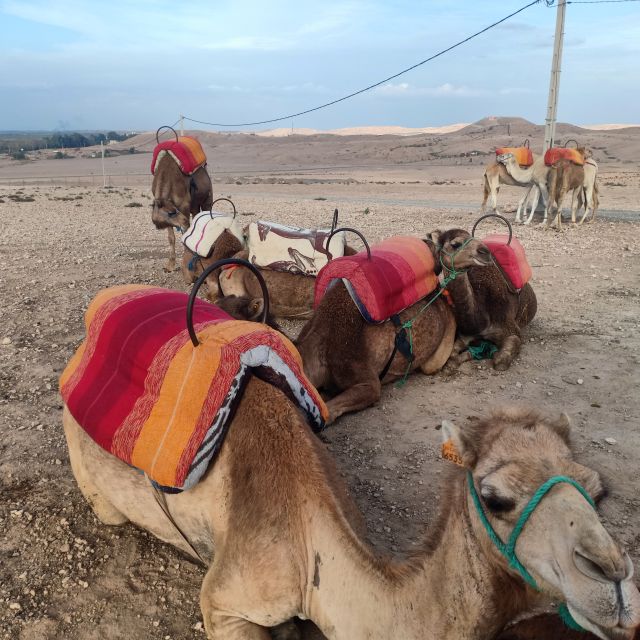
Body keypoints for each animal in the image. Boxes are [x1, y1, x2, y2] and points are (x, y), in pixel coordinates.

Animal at [436, 229, 536, 370]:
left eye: (471, 237)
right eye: (455, 244)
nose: (485, 251)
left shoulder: (511, 330)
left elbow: (500, 361)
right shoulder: (465, 335)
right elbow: (451, 356)